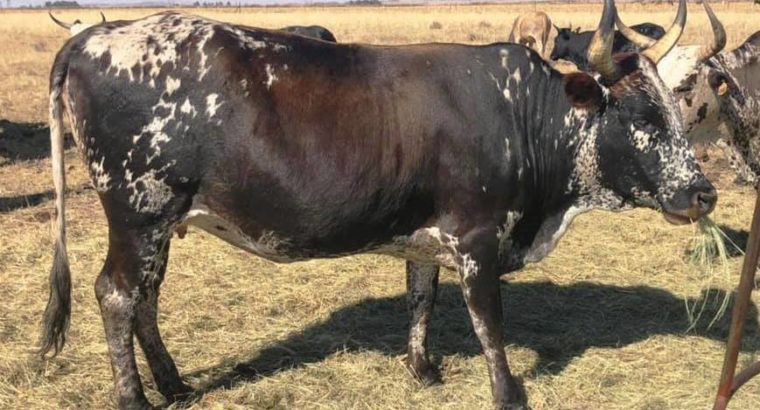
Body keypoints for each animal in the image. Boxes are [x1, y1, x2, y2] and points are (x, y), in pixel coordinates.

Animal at [39, 0, 715, 408]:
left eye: (676, 102)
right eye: (640, 113)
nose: (702, 192)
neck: (520, 112)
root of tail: (98, 34)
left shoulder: (428, 233)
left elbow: (422, 295)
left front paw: (421, 368)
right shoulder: (478, 238)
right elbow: (488, 320)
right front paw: (507, 390)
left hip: (159, 221)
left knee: (145, 297)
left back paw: (174, 383)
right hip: (139, 211)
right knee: (117, 294)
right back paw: (134, 397)